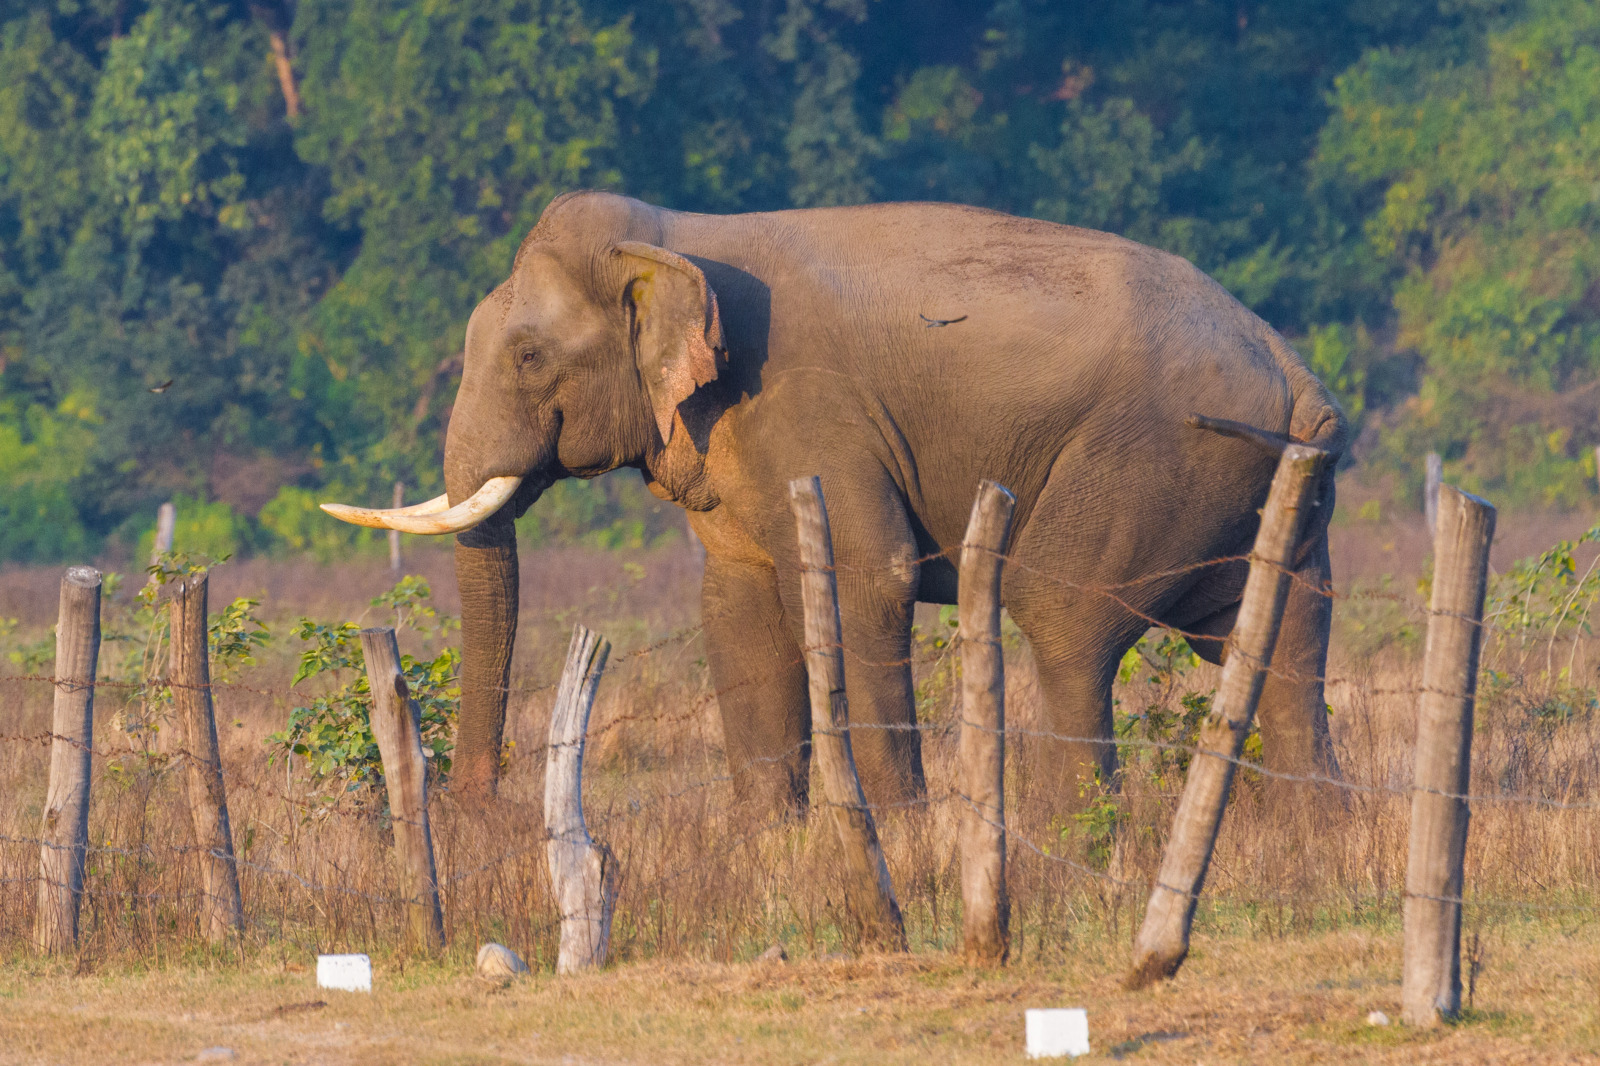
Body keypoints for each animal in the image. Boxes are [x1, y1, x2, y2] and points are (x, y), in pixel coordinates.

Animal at [328, 191, 1350, 809]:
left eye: (530, 355)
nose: (474, 815)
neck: (671, 235)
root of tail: (1296, 370)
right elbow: (735, 606)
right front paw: (772, 845)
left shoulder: (809, 407)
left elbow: (871, 576)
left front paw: (901, 829)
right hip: (1259, 487)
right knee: (1276, 632)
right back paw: (1313, 835)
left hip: (1150, 458)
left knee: (1064, 615)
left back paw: (1070, 837)